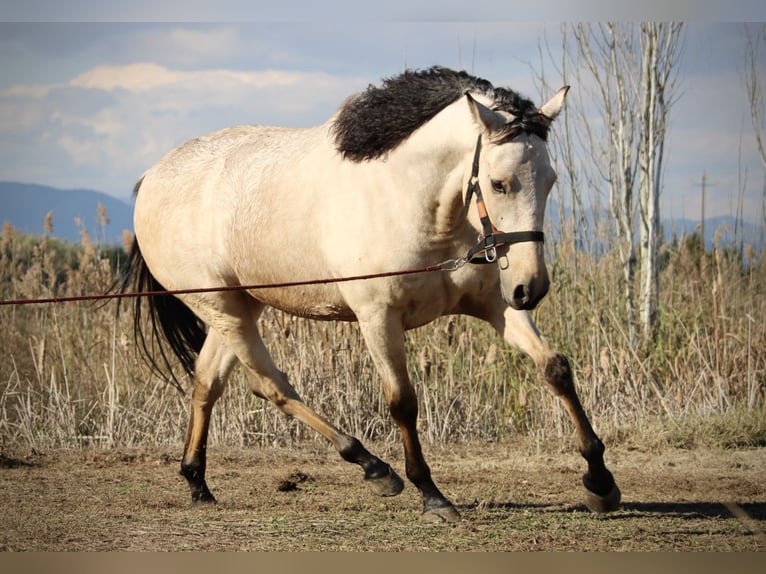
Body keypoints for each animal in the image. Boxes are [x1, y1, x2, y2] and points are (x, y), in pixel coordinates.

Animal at [121, 66, 624, 520]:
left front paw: (601, 482)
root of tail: (151, 178)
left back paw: (197, 483)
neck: (413, 200)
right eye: (499, 183)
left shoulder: (494, 304)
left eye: (551, 179)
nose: (530, 287)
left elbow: (555, 368)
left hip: (242, 306)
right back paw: (374, 467)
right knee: (269, 384)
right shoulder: (378, 318)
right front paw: (432, 496)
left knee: (209, 382)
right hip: (221, 308)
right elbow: (402, 401)